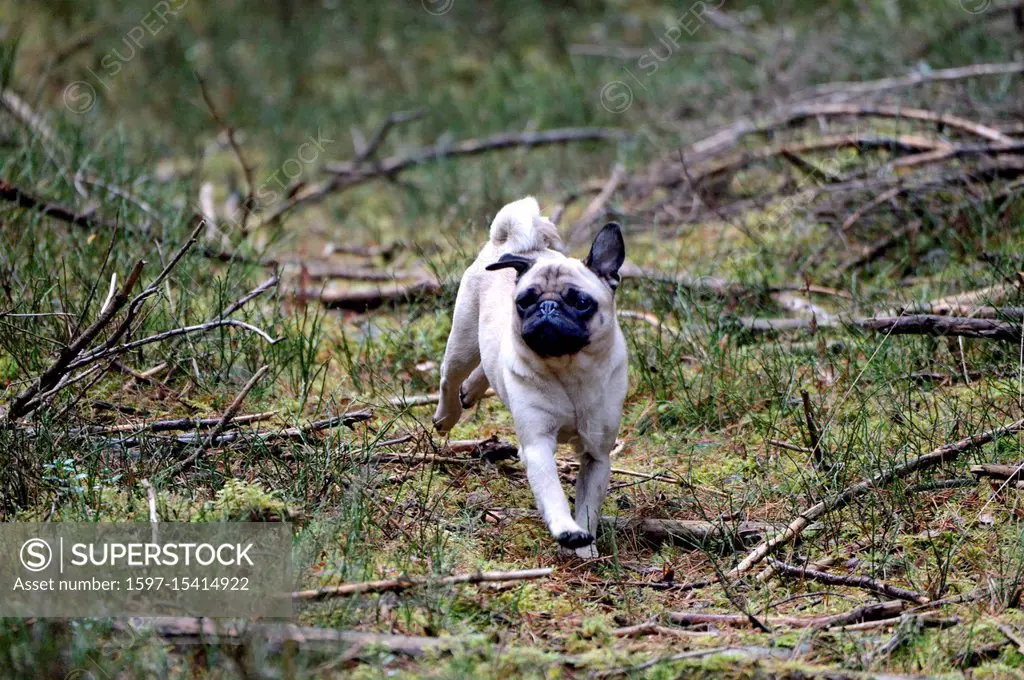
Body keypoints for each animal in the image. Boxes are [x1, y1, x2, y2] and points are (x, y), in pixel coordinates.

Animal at [430, 197, 626, 557]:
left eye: (580, 302)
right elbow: (554, 495)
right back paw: (446, 416)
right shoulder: (537, 446)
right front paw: (567, 531)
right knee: (449, 379)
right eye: (524, 302)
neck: (569, 370)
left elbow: (588, 507)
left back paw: (471, 391)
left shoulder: (597, 455)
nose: (547, 307)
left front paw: (586, 549)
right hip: (462, 344)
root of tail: (515, 244)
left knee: (487, 366)